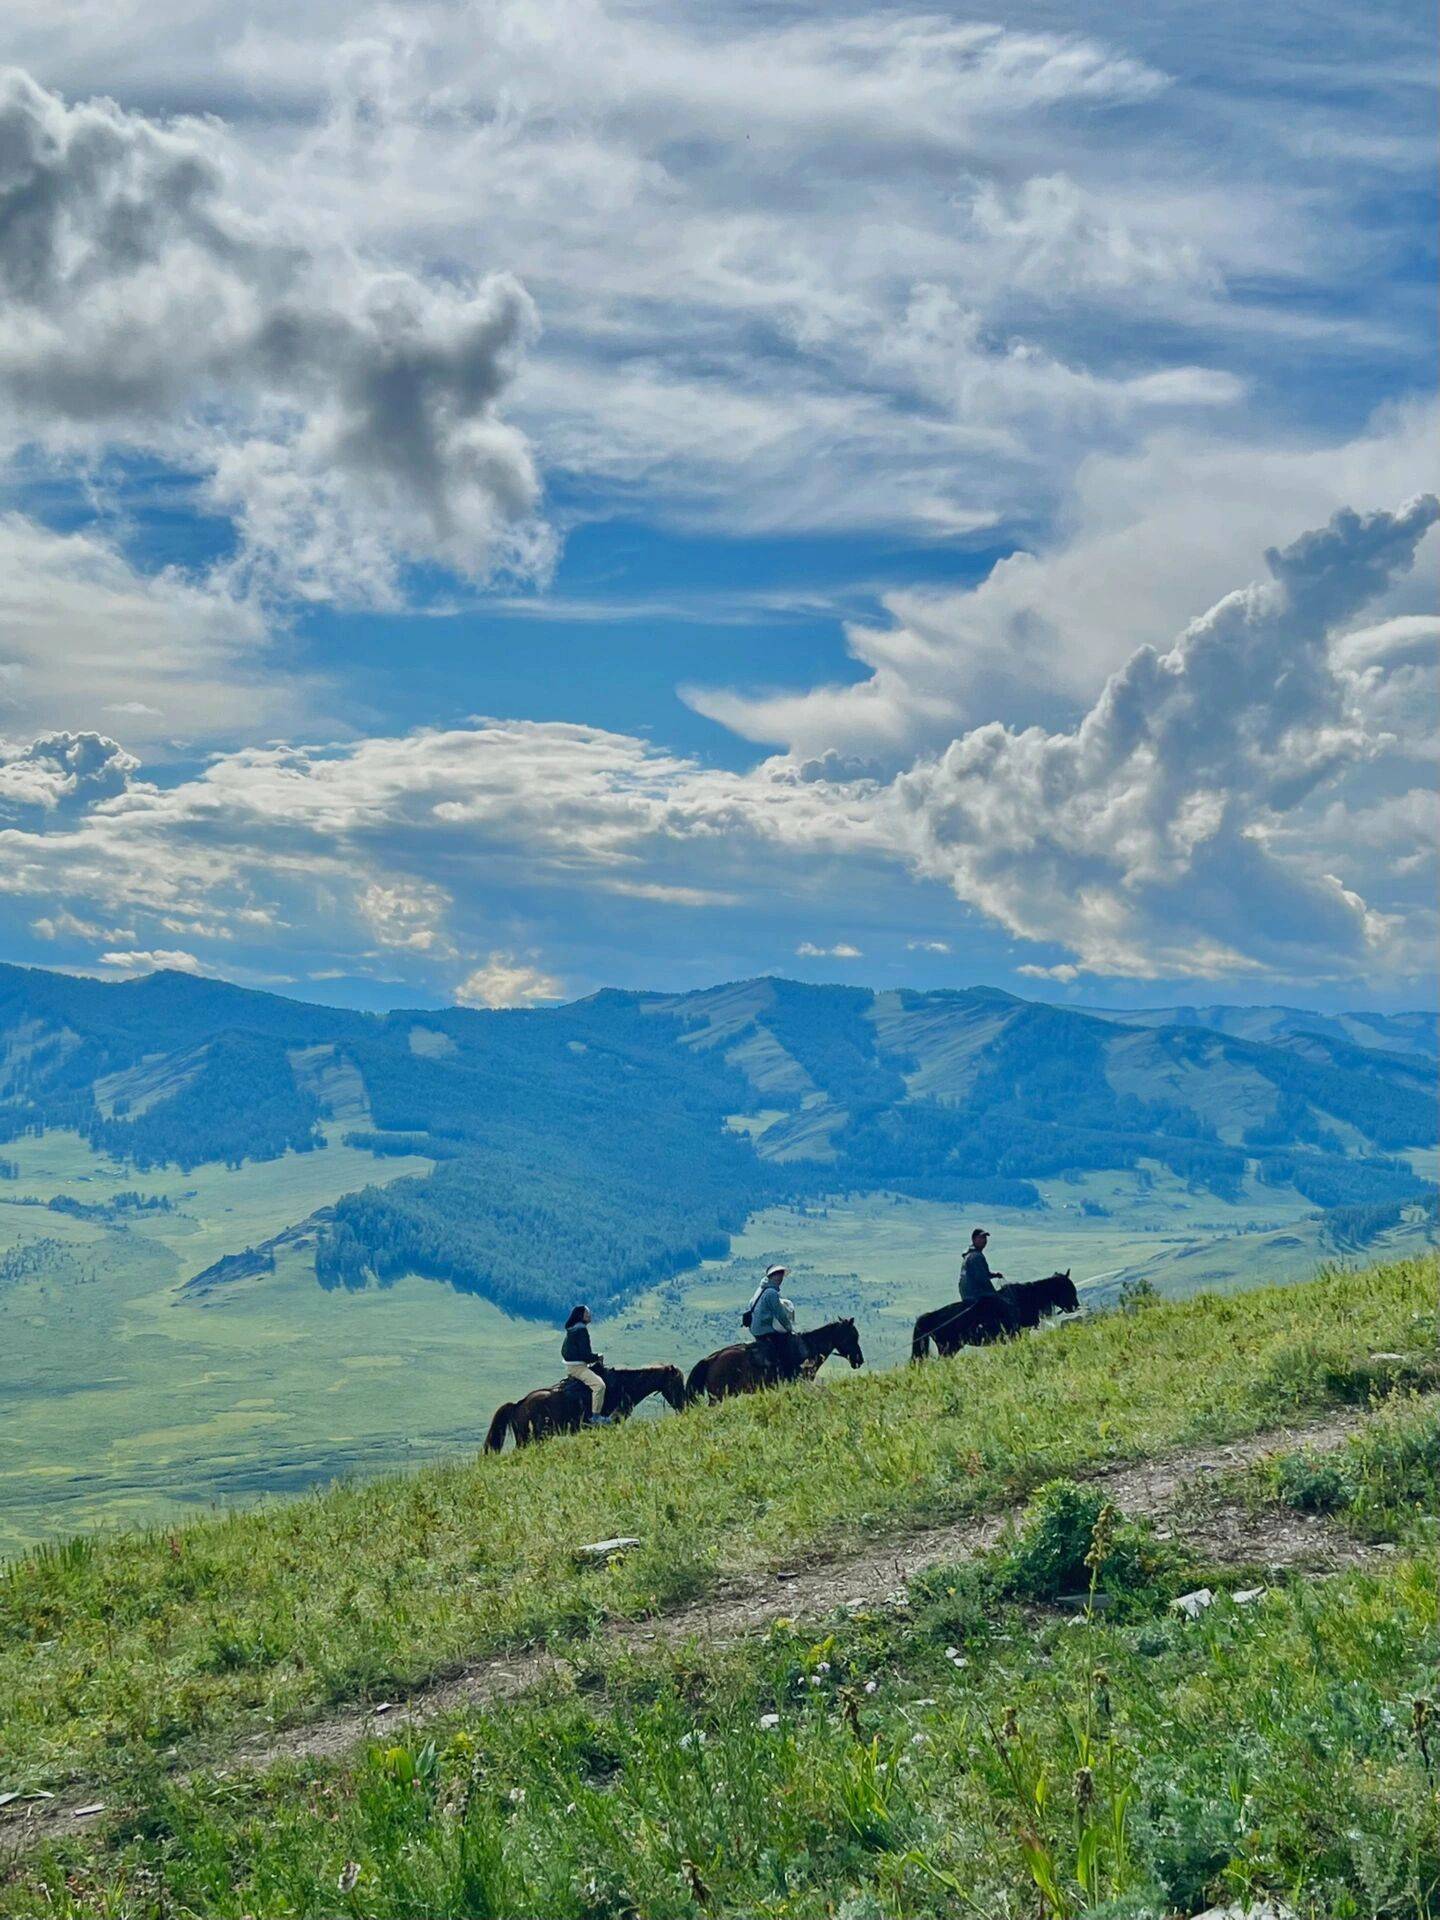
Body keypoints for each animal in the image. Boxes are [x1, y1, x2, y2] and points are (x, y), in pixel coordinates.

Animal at [913, 1274, 1082, 1367]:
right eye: (1067, 1289)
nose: (1075, 1306)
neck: (1023, 1298)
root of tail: (930, 1317)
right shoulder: (1018, 1334)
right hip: (948, 1349)